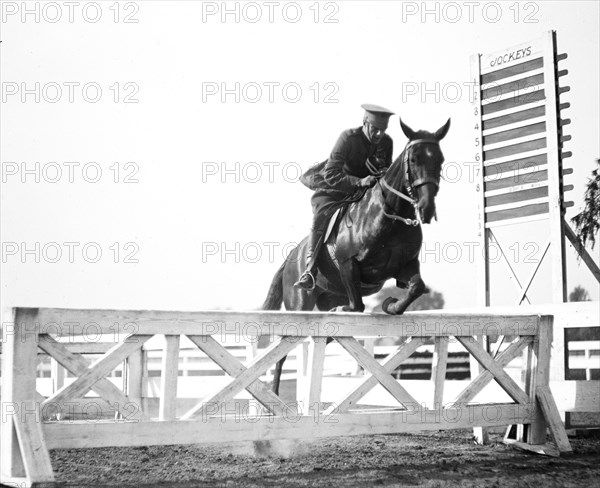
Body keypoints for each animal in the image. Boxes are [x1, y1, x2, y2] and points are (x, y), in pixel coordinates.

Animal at [262, 117, 450, 392]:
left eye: (440, 160)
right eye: (414, 160)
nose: (426, 210)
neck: (389, 217)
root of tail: (290, 259)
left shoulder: (407, 265)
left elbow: (416, 287)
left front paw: (391, 305)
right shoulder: (348, 264)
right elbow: (357, 306)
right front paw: (352, 309)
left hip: (328, 295)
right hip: (299, 300)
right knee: (282, 353)